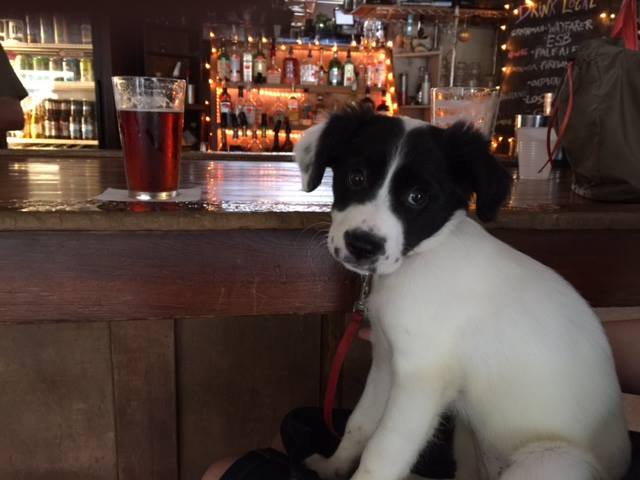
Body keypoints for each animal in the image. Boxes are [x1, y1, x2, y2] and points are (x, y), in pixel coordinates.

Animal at [294, 109, 632, 480]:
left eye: (418, 197)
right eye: (356, 177)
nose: (362, 245)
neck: (420, 260)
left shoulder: (420, 379)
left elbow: (384, 450)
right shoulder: (385, 361)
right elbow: (360, 423)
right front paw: (333, 466)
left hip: (550, 460)